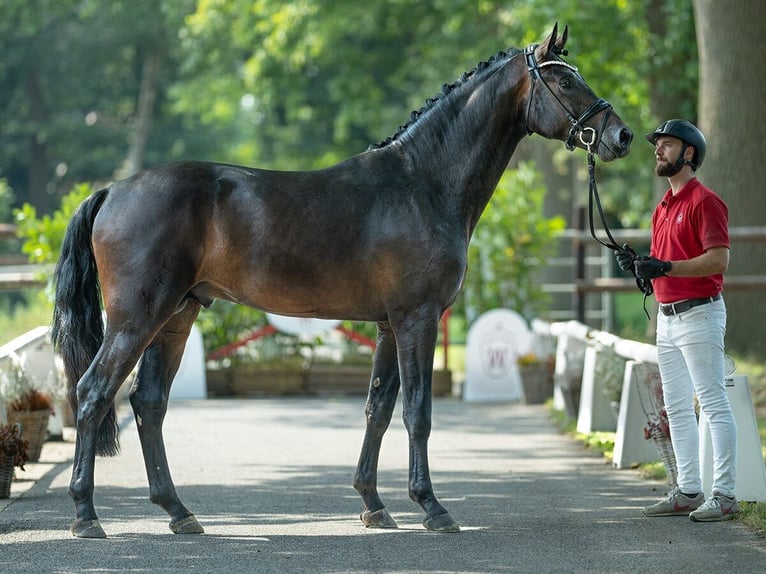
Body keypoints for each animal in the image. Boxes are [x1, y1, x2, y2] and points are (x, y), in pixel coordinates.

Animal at [51, 22, 632, 544]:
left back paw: (179, 512)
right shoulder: (418, 319)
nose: (621, 136)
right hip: (137, 318)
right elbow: (418, 411)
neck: (422, 183)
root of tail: (112, 191)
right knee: (93, 392)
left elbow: (379, 408)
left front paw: (374, 506)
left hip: (177, 315)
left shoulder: (389, 326)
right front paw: (432, 507)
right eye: (563, 81)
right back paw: (86, 516)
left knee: (148, 403)